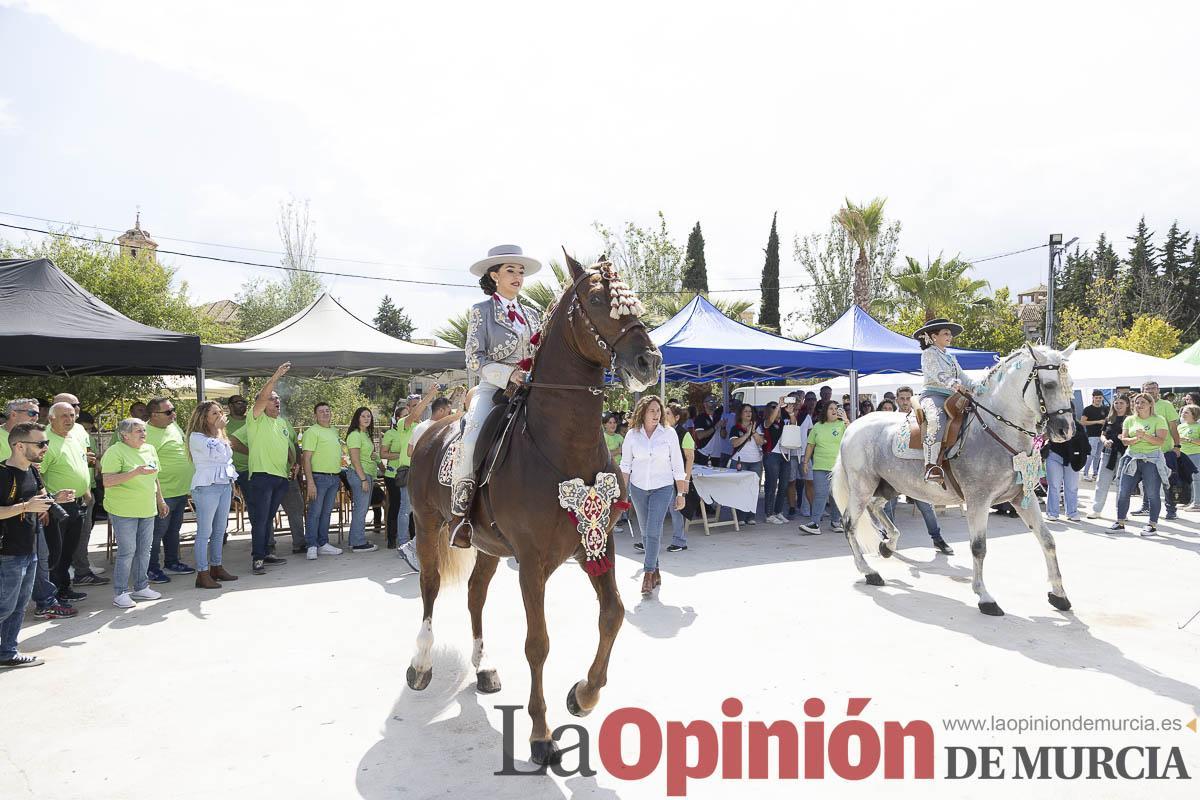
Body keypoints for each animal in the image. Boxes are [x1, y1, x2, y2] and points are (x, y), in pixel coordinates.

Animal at [405, 253, 662, 765]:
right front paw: (542, 736)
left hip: (485, 545)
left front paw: (583, 696)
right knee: (430, 588)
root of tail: (432, 428)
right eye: (599, 300)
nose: (649, 361)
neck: (562, 446)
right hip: (427, 527)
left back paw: (484, 668)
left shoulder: (595, 544)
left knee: (475, 595)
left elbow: (613, 615)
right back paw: (420, 664)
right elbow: (538, 644)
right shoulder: (531, 562)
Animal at [831, 342, 1078, 616]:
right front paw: (985, 598)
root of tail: (852, 427)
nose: (1066, 430)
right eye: (1049, 385)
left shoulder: (1021, 496)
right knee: (849, 523)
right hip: (862, 487)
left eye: (1070, 384)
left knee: (876, 507)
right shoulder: (979, 500)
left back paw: (888, 544)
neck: (996, 430)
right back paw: (869, 571)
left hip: (889, 486)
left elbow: (1047, 540)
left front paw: (1059, 595)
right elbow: (979, 547)